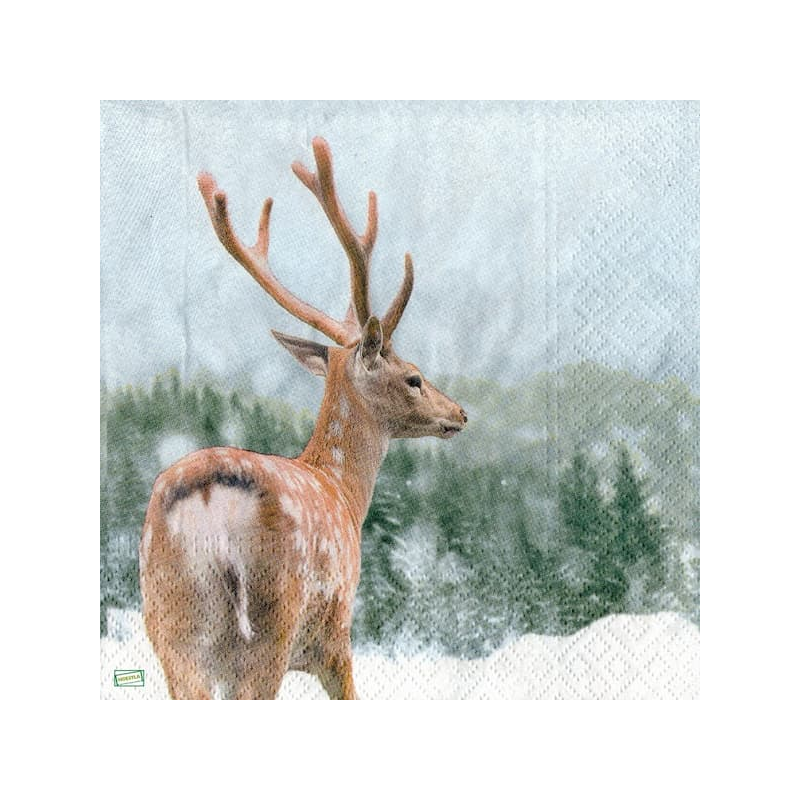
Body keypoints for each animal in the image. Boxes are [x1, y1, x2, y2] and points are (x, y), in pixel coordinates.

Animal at [139, 137, 467, 699]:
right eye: (414, 378)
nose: (460, 413)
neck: (342, 490)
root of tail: (207, 502)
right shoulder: (335, 636)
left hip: (170, 627)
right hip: (271, 621)